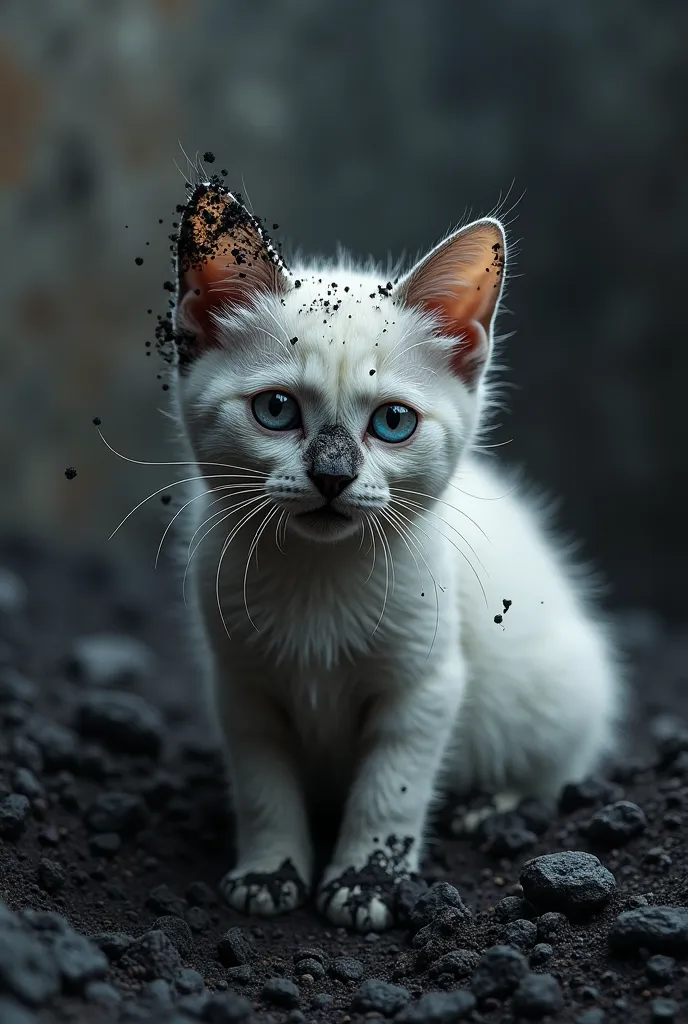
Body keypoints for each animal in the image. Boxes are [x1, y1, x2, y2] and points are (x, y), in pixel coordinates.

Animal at [168, 180, 622, 933]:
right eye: (275, 410)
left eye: (392, 422)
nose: (331, 475)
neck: (318, 581)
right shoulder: (242, 687)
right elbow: (263, 789)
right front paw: (270, 874)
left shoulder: (426, 687)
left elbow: (391, 790)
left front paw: (366, 884)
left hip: (559, 688)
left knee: (557, 770)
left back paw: (489, 805)